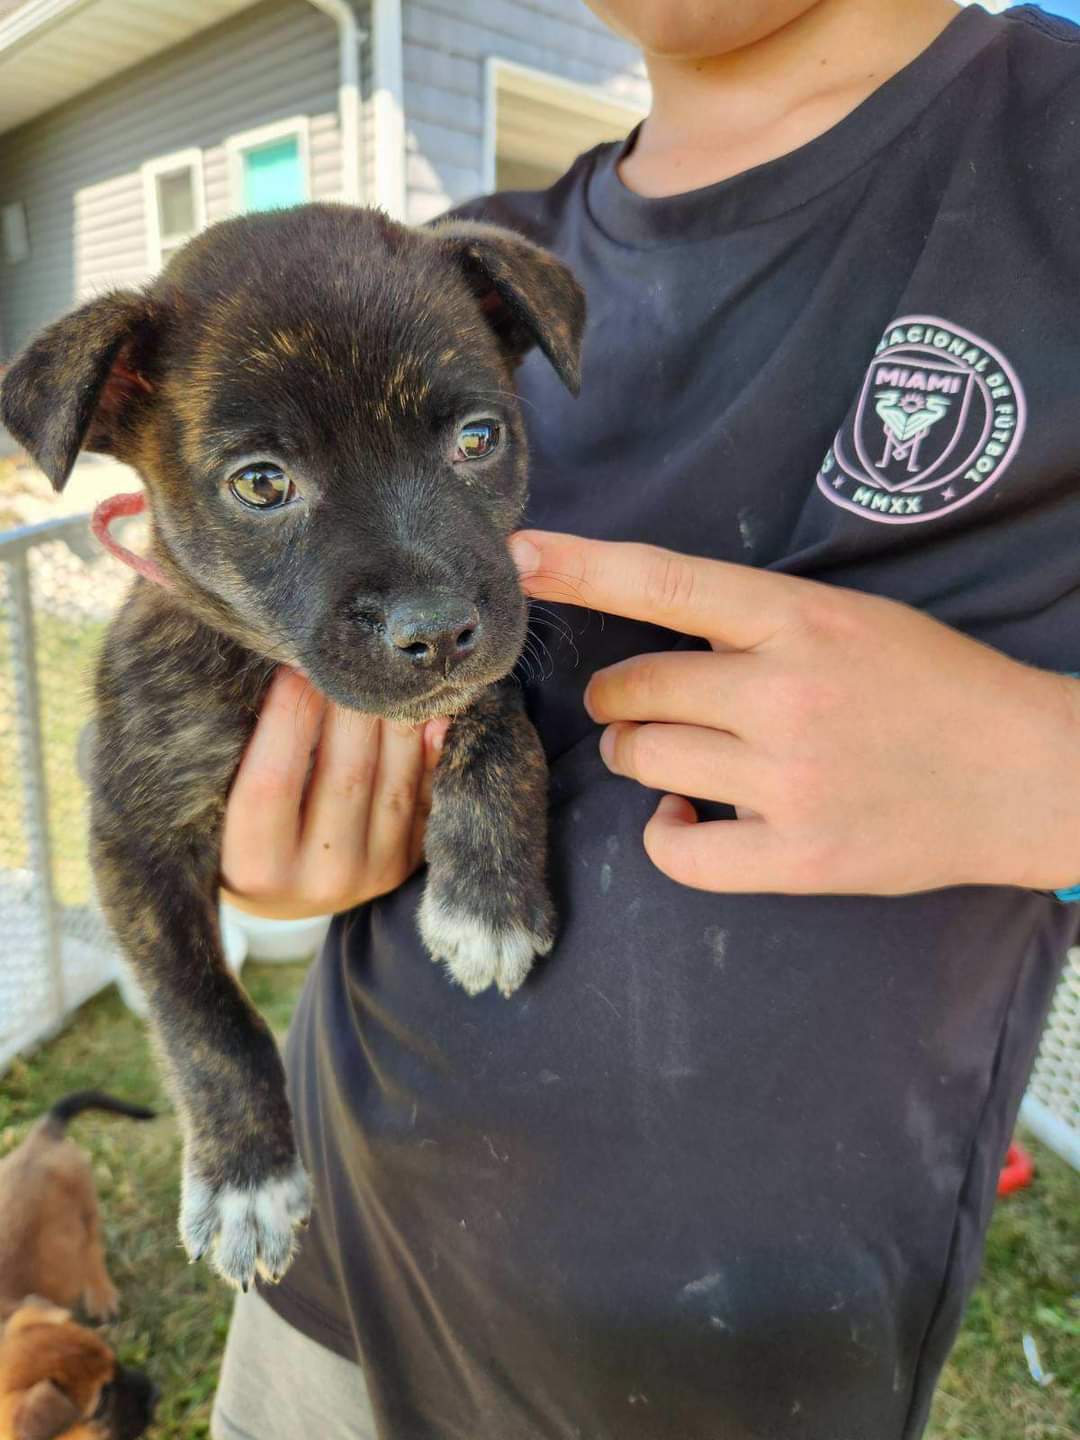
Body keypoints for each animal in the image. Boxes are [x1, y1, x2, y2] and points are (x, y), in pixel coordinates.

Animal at [0, 197, 584, 1290]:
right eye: (263, 483)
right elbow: (204, 1014)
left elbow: (500, 726)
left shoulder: (487, 661)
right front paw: (246, 1182)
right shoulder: (131, 836)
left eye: (480, 438)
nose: (436, 631)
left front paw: (487, 896)